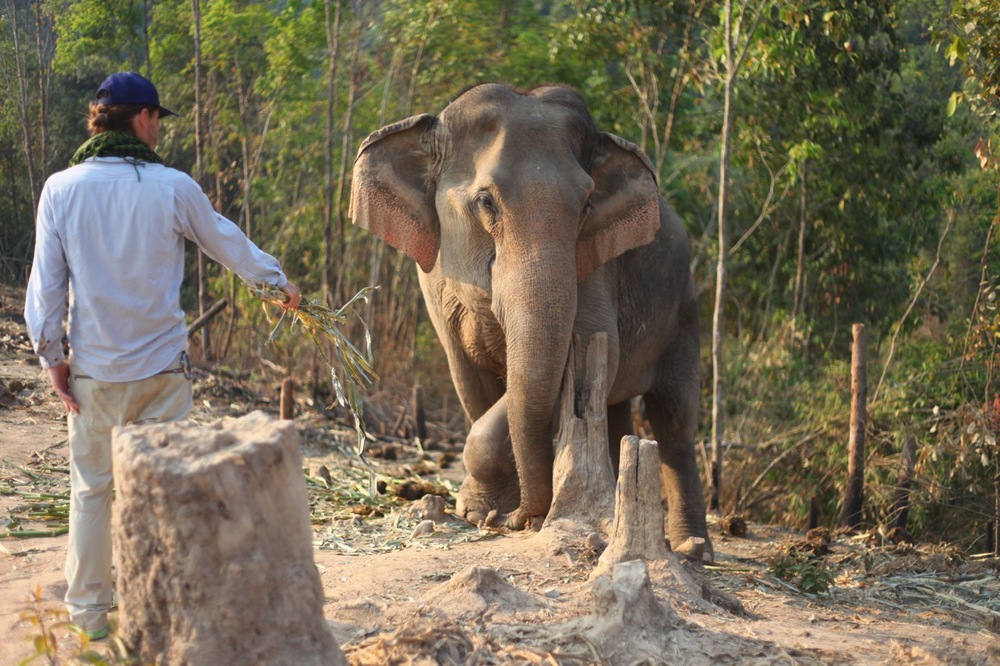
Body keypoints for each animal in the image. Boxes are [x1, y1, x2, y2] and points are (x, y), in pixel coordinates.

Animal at [352, 84, 712, 560]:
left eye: (587, 204)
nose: (523, 518)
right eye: (486, 202)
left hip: (685, 312)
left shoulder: (596, 264)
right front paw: (483, 511)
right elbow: (469, 380)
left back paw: (693, 549)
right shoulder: (433, 284)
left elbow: (591, 349)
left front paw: (491, 511)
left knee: (674, 419)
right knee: (617, 412)